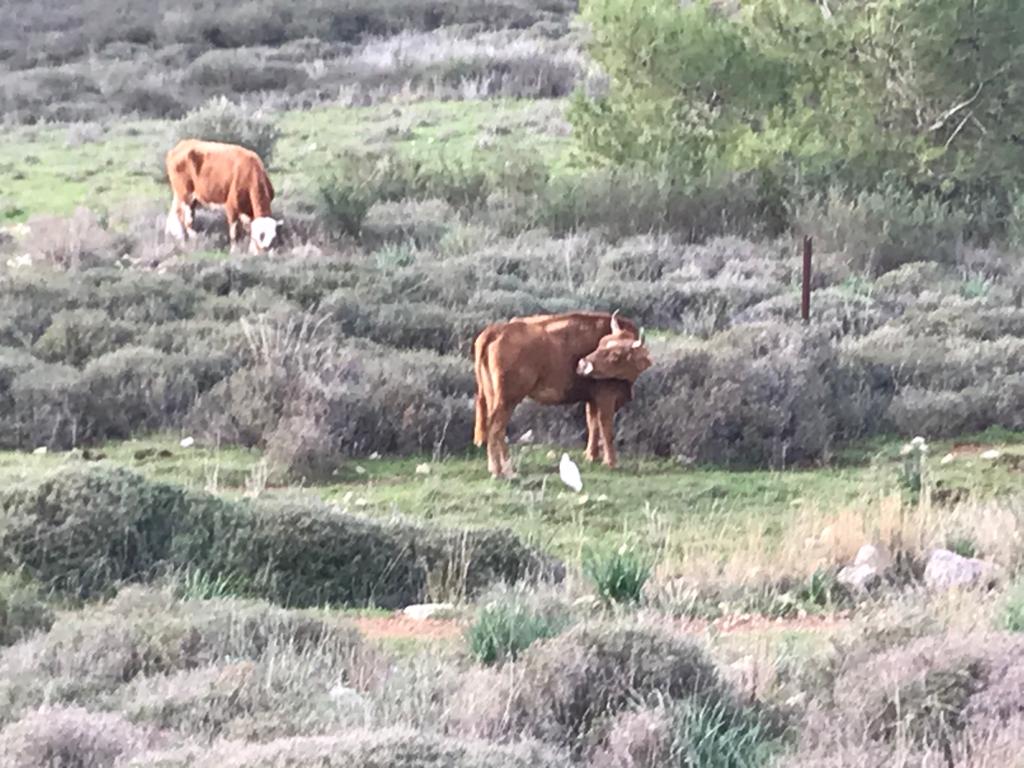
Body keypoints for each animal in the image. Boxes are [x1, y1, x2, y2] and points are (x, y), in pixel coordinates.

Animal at [473, 311, 653, 478]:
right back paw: (503, 471)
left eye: (615, 355)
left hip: (493, 396)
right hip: (508, 399)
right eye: (601, 343)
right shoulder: (605, 397)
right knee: (495, 428)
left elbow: (593, 424)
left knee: (497, 429)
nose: (582, 364)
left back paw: (499, 468)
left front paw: (591, 456)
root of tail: (498, 330)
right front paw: (611, 462)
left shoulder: (592, 399)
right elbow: (606, 429)